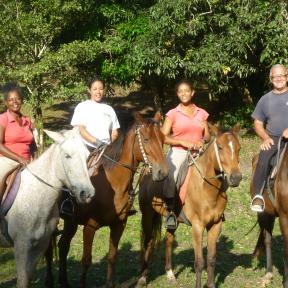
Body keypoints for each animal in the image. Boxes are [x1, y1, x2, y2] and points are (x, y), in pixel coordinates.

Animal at [0, 129, 94, 288]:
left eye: (87, 156)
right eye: (67, 155)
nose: (87, 193)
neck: (35, 196)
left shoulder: (41, 245)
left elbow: (29, 277)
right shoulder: (21, 246)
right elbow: (22, 280)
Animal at [46, 112, 170, 288]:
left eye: (162, 138)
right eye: (146, 139)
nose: (163, 172)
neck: (112, 184)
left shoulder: (119, 224)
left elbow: (112, 257)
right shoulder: (90, 226)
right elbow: (86, 260)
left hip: (71, 221)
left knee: (63, 245)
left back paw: (64, 281)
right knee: (49, 250)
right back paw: (49, 280)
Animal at [136, 125, 242, 288]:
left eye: (238, 148)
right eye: (220, 147)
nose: (236, 178)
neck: (207, 188)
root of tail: (147, 169)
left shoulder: (215, 225)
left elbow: (211, 259)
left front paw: (211, 285)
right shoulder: (198, 227)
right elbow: (199, 262)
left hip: (171, 220)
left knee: (168, 240)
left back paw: (170, 273)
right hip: (147, 214)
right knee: (147, 242)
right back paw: (142, 277)